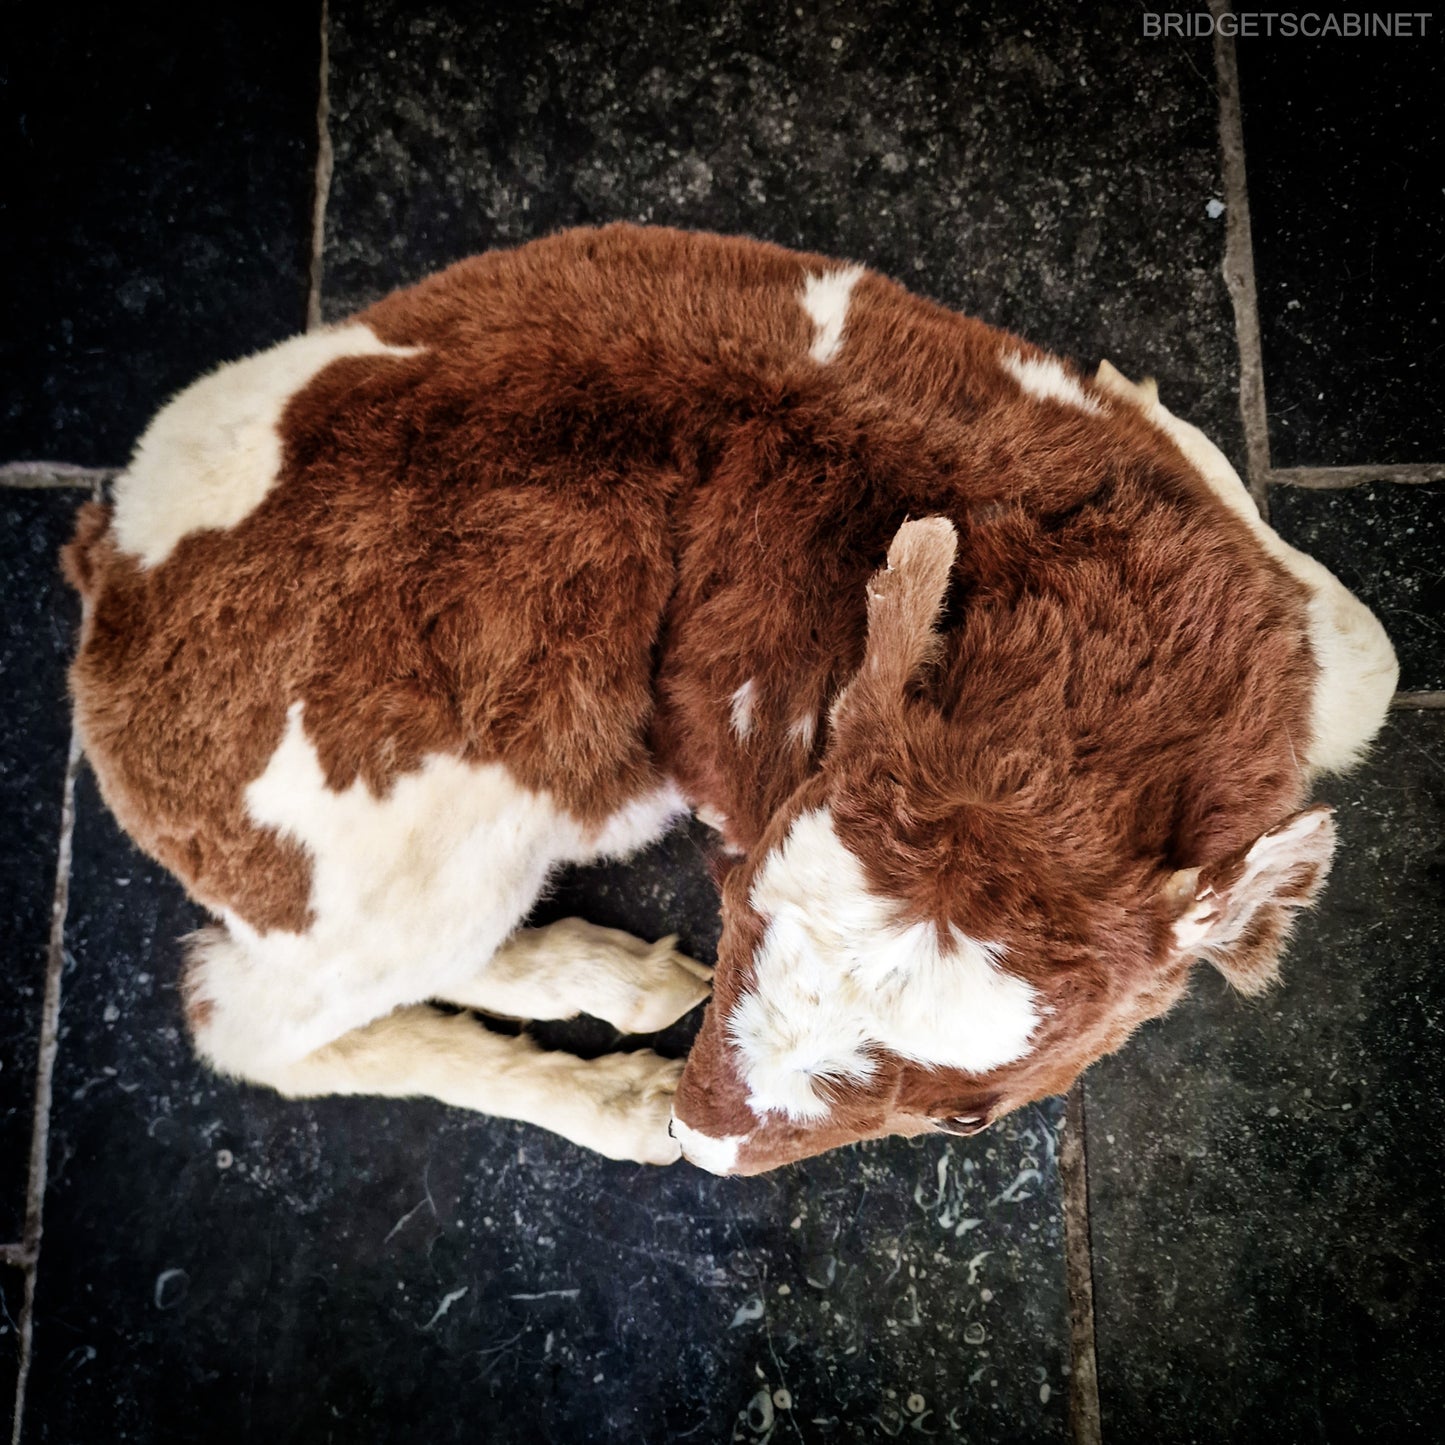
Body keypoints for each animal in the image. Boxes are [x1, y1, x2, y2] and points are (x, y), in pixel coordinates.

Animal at [62, 224, 1397, 1175]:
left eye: (969, 1118)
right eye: (731, 892)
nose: (701, 1139)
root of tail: (110, 570)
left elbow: (1366, 653)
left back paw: (611, 980)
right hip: (413, 863)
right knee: (249, 1019)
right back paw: (608, 1084)